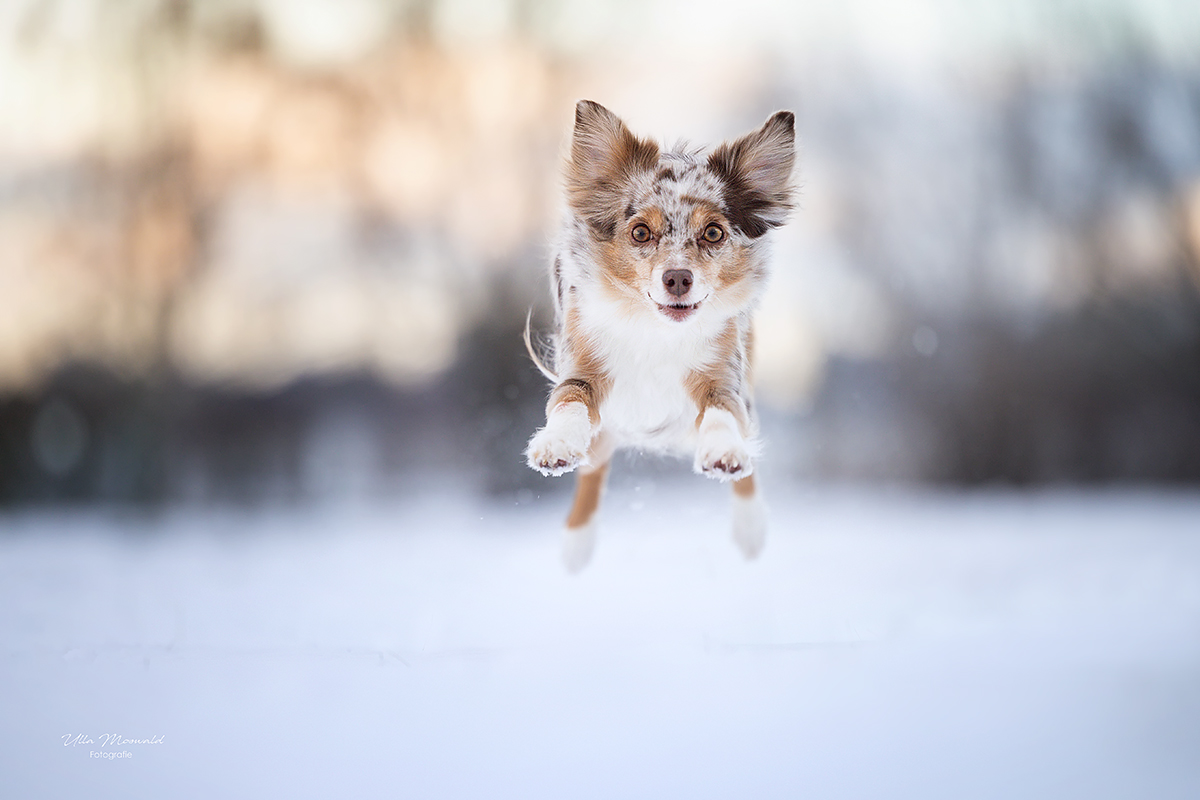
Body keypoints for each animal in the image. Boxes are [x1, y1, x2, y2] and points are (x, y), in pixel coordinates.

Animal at [528, 101, 796, 568]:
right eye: (640, 232)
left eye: (713, 232)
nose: (677, 278)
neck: (655, 330)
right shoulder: (579, 368)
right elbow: (568, 404)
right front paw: (556, 443)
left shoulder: (726, 379)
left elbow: (725, 417)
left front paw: (723, 453)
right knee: (592, 469)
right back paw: (576, 544)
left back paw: (751, 528)